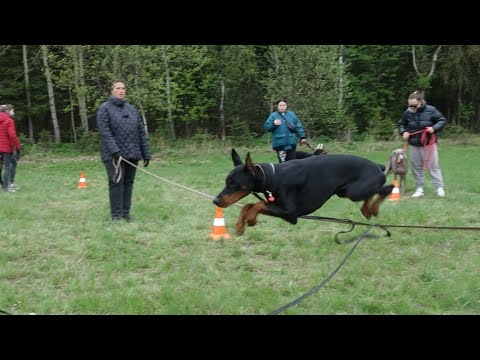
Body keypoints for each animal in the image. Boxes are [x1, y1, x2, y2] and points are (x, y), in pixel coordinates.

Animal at [214, 148, 394, 235]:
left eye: (233, 183)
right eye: (226, 182)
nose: (215, 201)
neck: (271, 176)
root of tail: (378, 166)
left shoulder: (290, 213)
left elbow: (257, 204)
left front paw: (250, 219)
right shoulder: (277, 206)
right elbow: (249, 204)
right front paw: (240, 225)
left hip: (354, 191)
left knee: (387, 188)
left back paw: (373, 208)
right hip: (344, 191)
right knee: (374, 192)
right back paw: (367, 210)